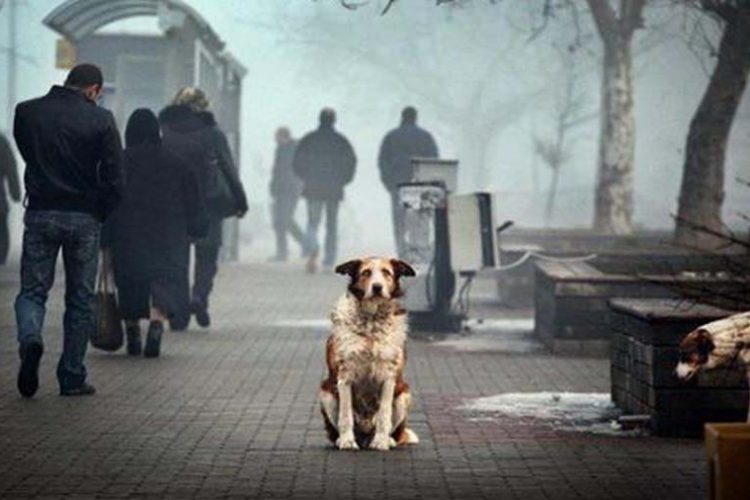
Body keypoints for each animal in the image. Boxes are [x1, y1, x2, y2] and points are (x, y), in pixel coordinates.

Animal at [318, 256, 420, 452]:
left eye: (386, 272)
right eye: (366, 272)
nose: (377, 287)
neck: (372, 321)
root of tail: (364, 436)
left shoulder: (389, 377)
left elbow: (384, 414)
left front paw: (380, 442)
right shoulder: (344, 377)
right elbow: (346, 415)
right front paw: (347, 441)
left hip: (404, 394)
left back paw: (386, 439)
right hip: (326, 393)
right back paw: (342, 439)